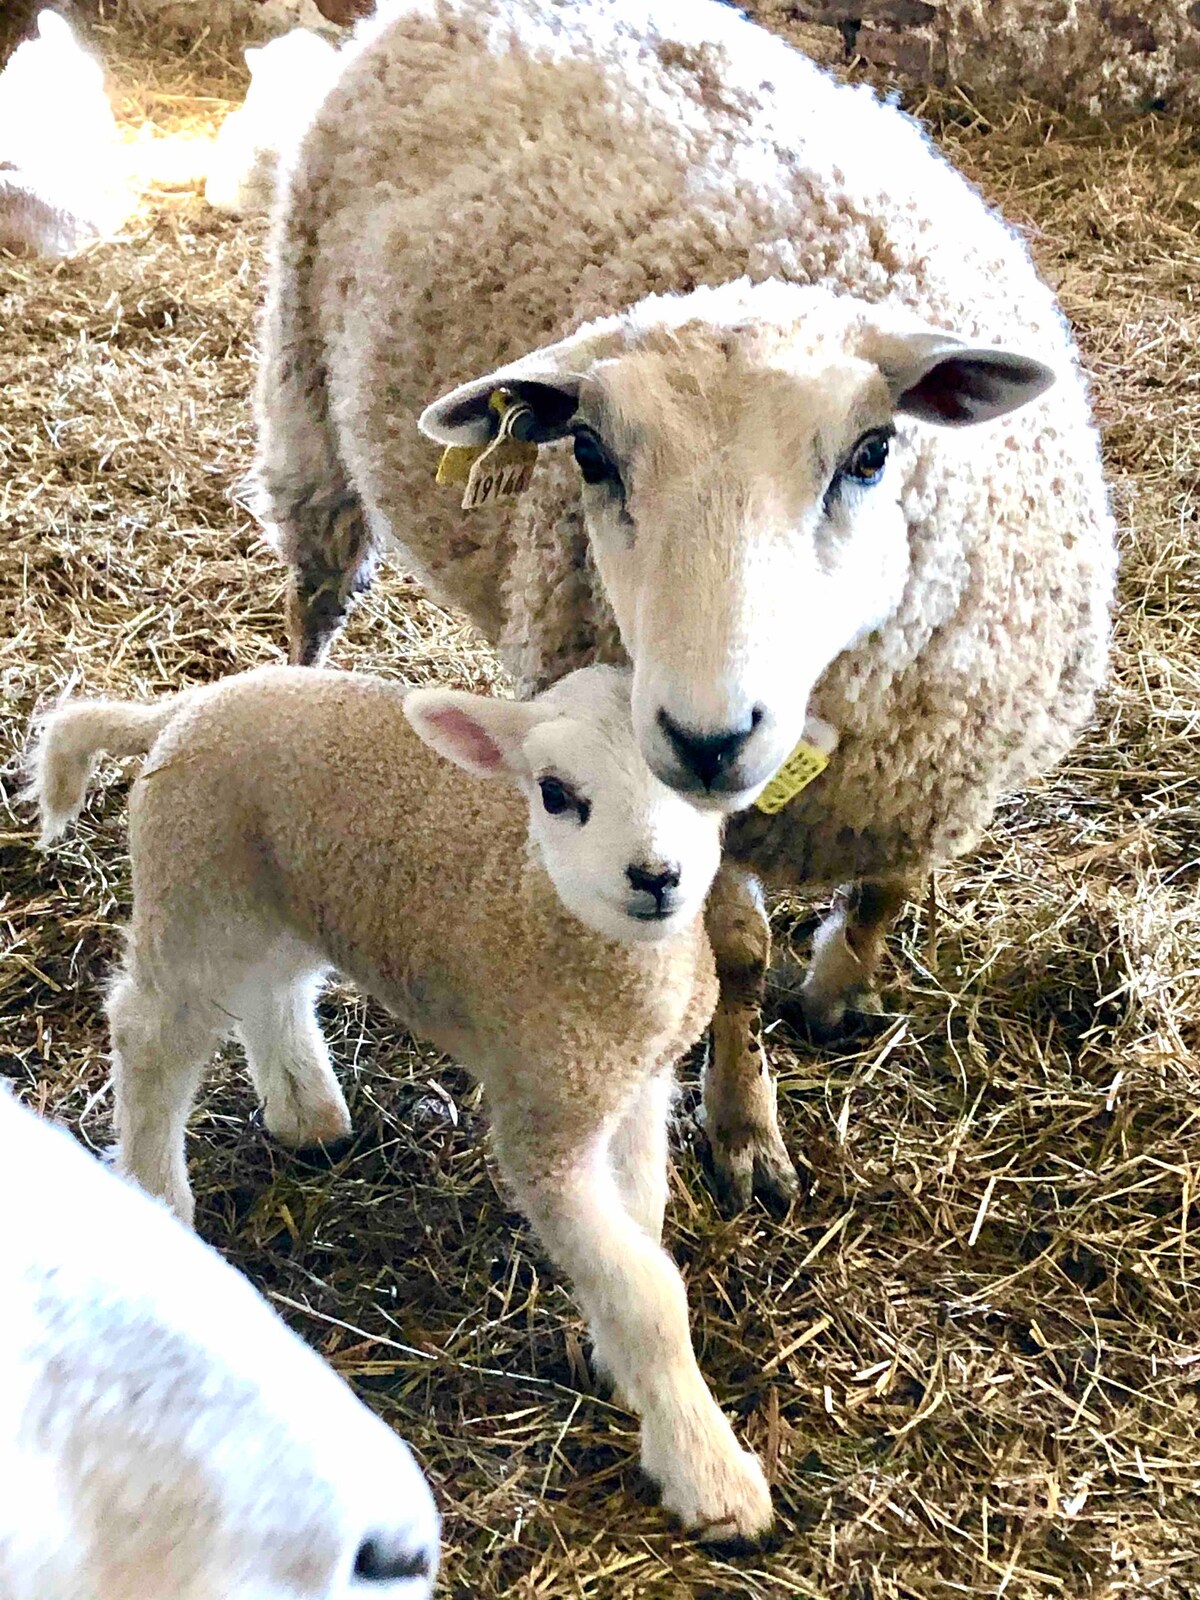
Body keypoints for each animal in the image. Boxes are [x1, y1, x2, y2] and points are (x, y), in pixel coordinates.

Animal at [30, 659, 790, 1536]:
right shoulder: (544, 1119)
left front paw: (614, 1357)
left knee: (273, 988)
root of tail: (178, 708)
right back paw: (161, 1197)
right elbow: (648, 1293)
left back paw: (307, 1113)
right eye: (554, 793)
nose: (657, 877)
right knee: (149, 1034)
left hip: (291, 894)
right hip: (196, 889)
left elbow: (643, 1223)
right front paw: (710, 1474)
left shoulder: (631, 1083)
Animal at [259, 0, 1126, 1203]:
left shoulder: (942, 767)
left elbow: (891, 888)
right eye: (586, 452)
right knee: (314, 589)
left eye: (872, 451)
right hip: (304, 396)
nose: (705, 737)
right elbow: (736, 961)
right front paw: (744, 1125)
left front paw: (841, 991)